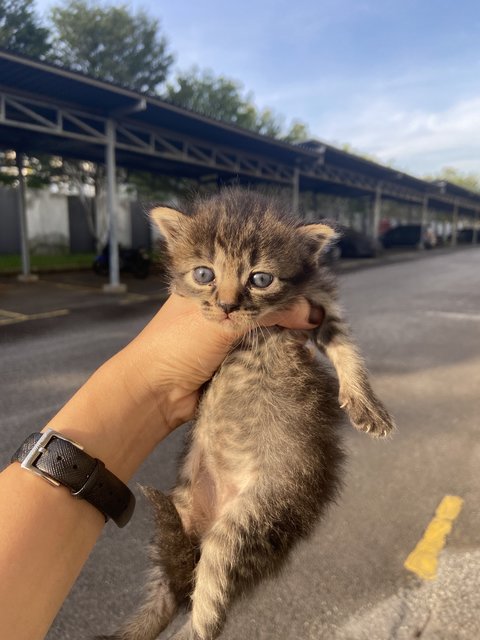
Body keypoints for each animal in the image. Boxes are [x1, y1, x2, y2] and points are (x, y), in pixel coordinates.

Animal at [98, 188, 394, 636]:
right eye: (204, 274)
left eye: (260, 279)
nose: (225, 306)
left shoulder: (321, 301)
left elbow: (346, 348)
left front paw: (367, 404)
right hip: (184, 513)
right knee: (170, 595)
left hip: (247, 521)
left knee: (206, 608)